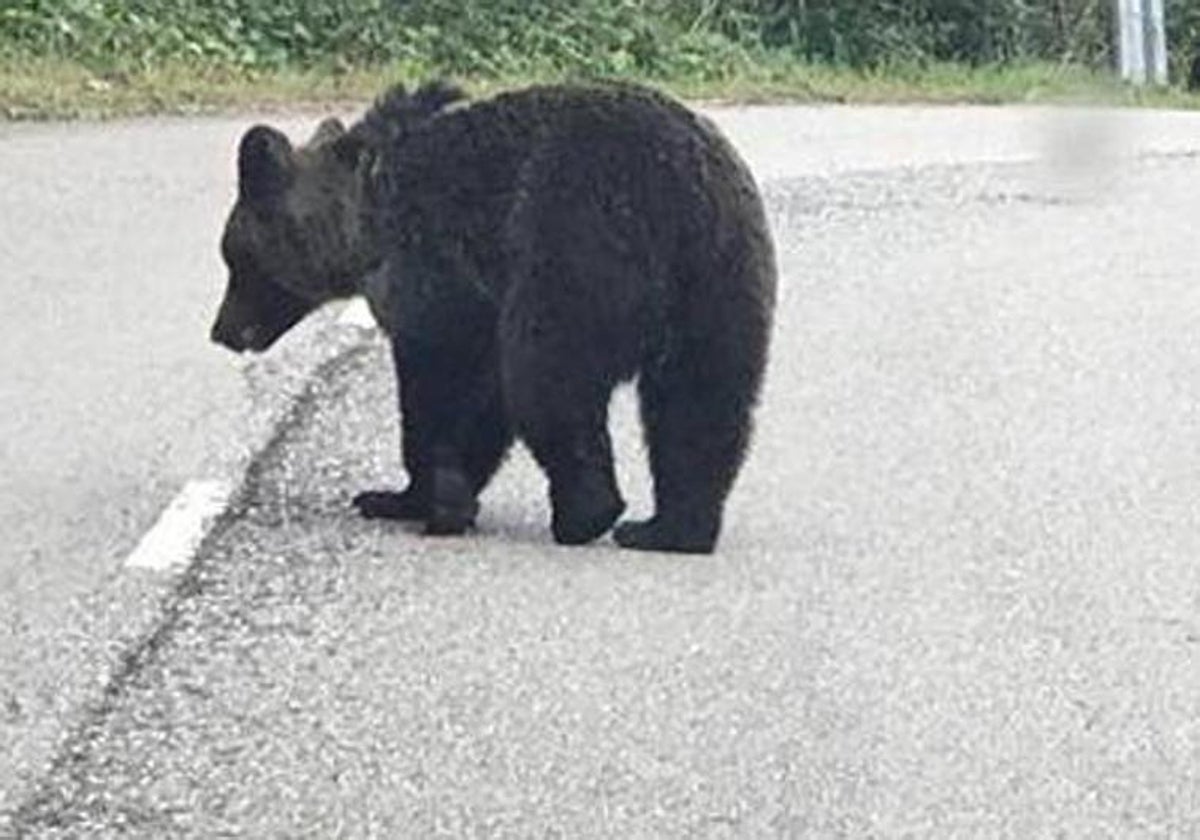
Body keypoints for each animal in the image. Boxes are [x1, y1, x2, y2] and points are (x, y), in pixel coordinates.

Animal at [211, 78, 777, 552]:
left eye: (235, 258)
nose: (221, 331)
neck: (364, 223)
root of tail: (674, 196)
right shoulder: (480, 298)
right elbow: (485, 399)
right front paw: (416, 495)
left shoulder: (435, 270)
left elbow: (442, 386)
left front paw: (416, 499)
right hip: (721, 281)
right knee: (699, 404)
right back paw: (671, 528)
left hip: (573, 253)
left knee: (548, 380)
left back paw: (586, 514)